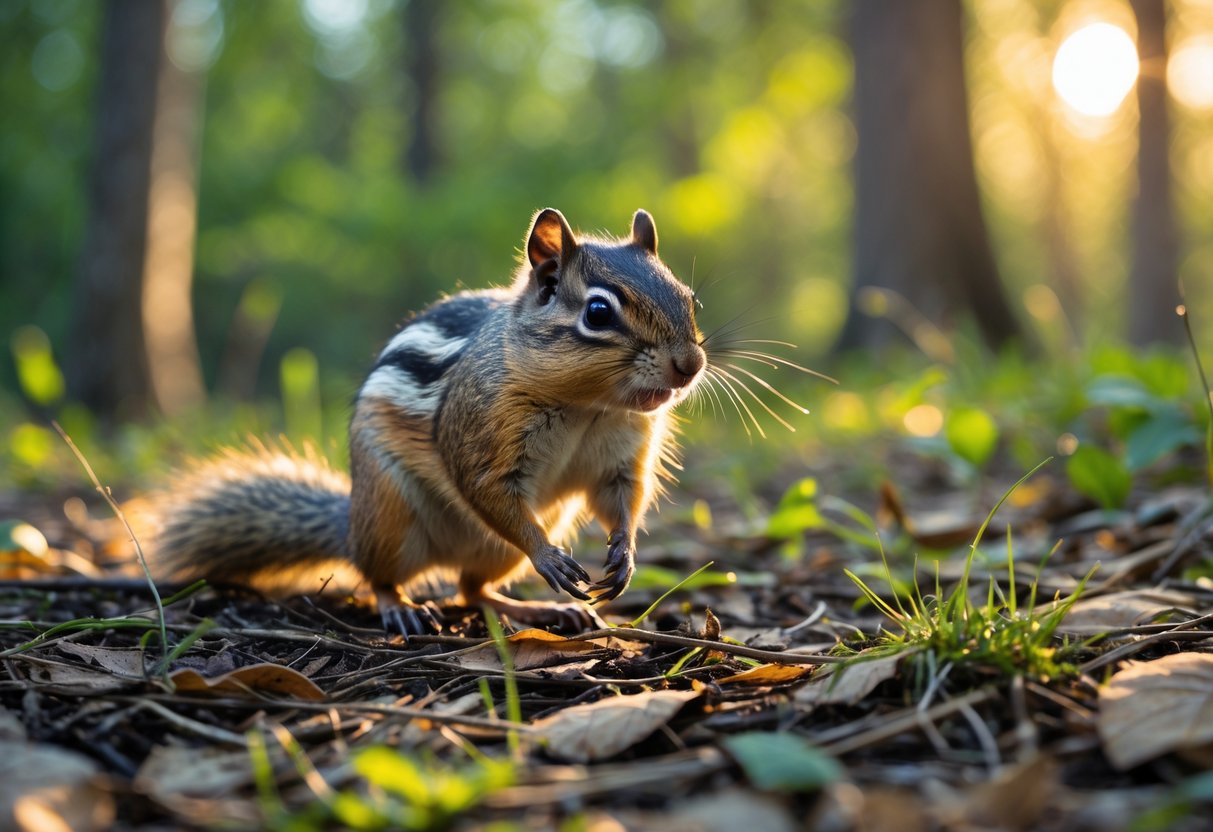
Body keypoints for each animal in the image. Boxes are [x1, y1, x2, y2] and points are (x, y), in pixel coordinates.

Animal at [151, 208, 706, 634]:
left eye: (689, 298)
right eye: (597, 312)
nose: (691, 364)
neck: (587, 407)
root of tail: (351, 526)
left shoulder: (622, 456)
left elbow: (623, 498)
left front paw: (624, 555)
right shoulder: (478, 433)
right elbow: (484, 489)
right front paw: (547, 556)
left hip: (496, 550)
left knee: (471, 590)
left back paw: (537, 608)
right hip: (390, 520)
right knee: (381, 577)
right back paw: (401, 608)